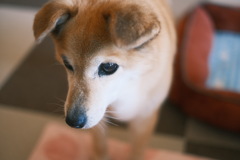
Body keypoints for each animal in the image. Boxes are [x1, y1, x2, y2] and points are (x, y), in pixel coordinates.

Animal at [33, 0, 176, 159]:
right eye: (67, 64)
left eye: (108, 67)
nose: (73, 121)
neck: (123, 92)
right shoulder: (98, 117)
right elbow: (100, 145)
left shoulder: (144, 120)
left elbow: (137, 151)